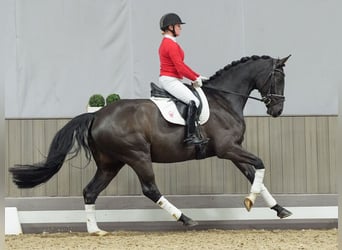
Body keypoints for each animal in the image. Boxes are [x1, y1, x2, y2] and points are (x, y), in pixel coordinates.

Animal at [9, 54, 292, 234]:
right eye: (278, 78)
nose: (277, 110)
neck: (224, 100)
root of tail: (96, 115)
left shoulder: (233, 150)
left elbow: (255, 176)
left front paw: (278, 209)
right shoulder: (227, 149)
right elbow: (260, 164)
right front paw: (252, 202)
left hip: (111, 164)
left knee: (90, 191)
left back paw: (95, 230)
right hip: (137, 156)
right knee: (150, 189)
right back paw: (186, 219)